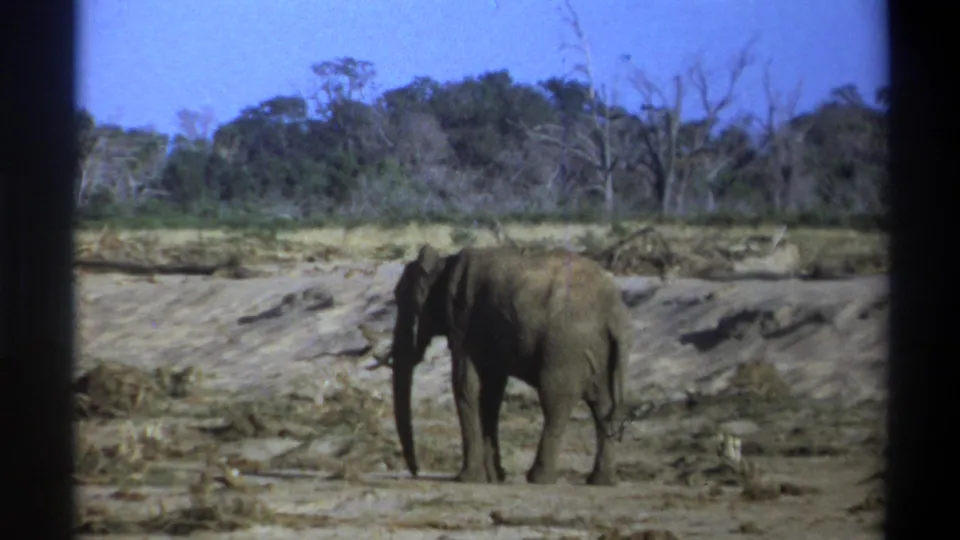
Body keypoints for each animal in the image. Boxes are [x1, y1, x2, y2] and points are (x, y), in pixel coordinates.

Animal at [385, 244, 633, 486]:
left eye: (404, 300)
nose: (415, 472)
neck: (445, 263)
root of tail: (615, 313)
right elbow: (491, 392)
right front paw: (494, 477)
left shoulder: (462, 321)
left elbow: (466, 386)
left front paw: (468, 479)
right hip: (597, 349)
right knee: (602, 405)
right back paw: (601, 481)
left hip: (566, 346)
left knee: (555, 401)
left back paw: (539, 478)